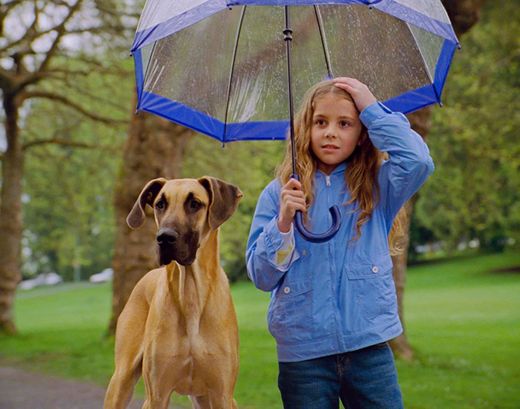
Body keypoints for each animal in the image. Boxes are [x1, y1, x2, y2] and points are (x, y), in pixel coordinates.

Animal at [105, 176, 244, 408]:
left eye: (195, 203)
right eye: (160, 204)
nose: (164, 238)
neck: (190, 292)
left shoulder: (222, 394)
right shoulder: (157, 394)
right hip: (121, 379)